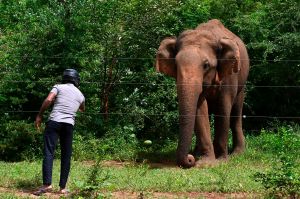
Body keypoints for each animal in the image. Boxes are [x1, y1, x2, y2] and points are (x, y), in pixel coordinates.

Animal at [156, 19, 250, 168]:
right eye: (176, 65)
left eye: (206, 65)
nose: (190, 159)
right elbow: (200, 109)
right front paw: (206, 162)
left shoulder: (229, 76)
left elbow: (223, 108)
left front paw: (221, 160)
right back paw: (198, 152)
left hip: (242, 82)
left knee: (236, 113)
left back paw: (237, 154)